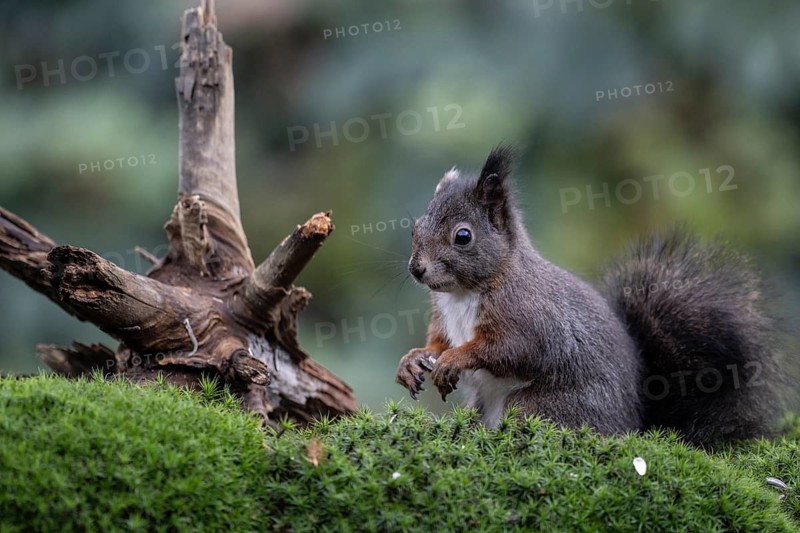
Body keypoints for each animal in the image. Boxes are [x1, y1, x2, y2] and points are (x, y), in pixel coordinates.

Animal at [395, 145, 785, 446]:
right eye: (415, 228)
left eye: (463, 236)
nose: (416, 269)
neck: (463, 294)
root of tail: (633, 427)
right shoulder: (443, 318)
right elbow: (438, 342)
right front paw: (414, 359)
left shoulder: (528, 317)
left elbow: (511, 349)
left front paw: (454, 360)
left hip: (539, 407)